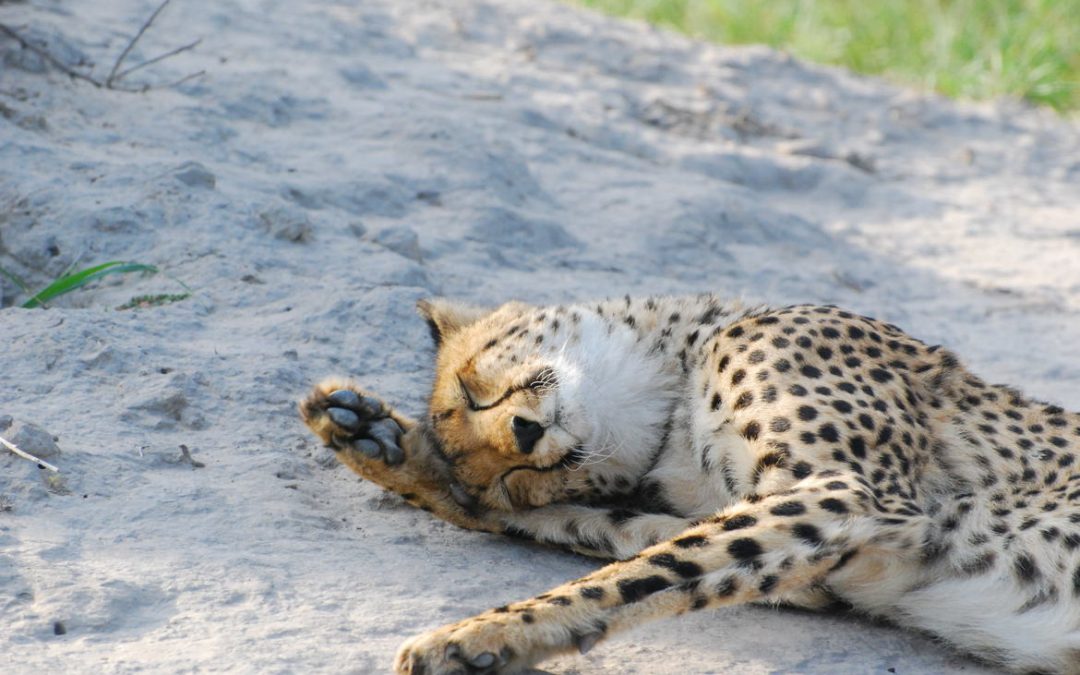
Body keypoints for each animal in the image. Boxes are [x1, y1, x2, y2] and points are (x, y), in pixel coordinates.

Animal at [300, 294, 1080, 674]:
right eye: (512, 481)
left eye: (472, 389)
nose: (524, 436)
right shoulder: (838, 561)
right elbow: (629, 551)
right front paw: (384, 446)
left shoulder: (849, 495)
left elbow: (630, 575)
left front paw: (473, 632)